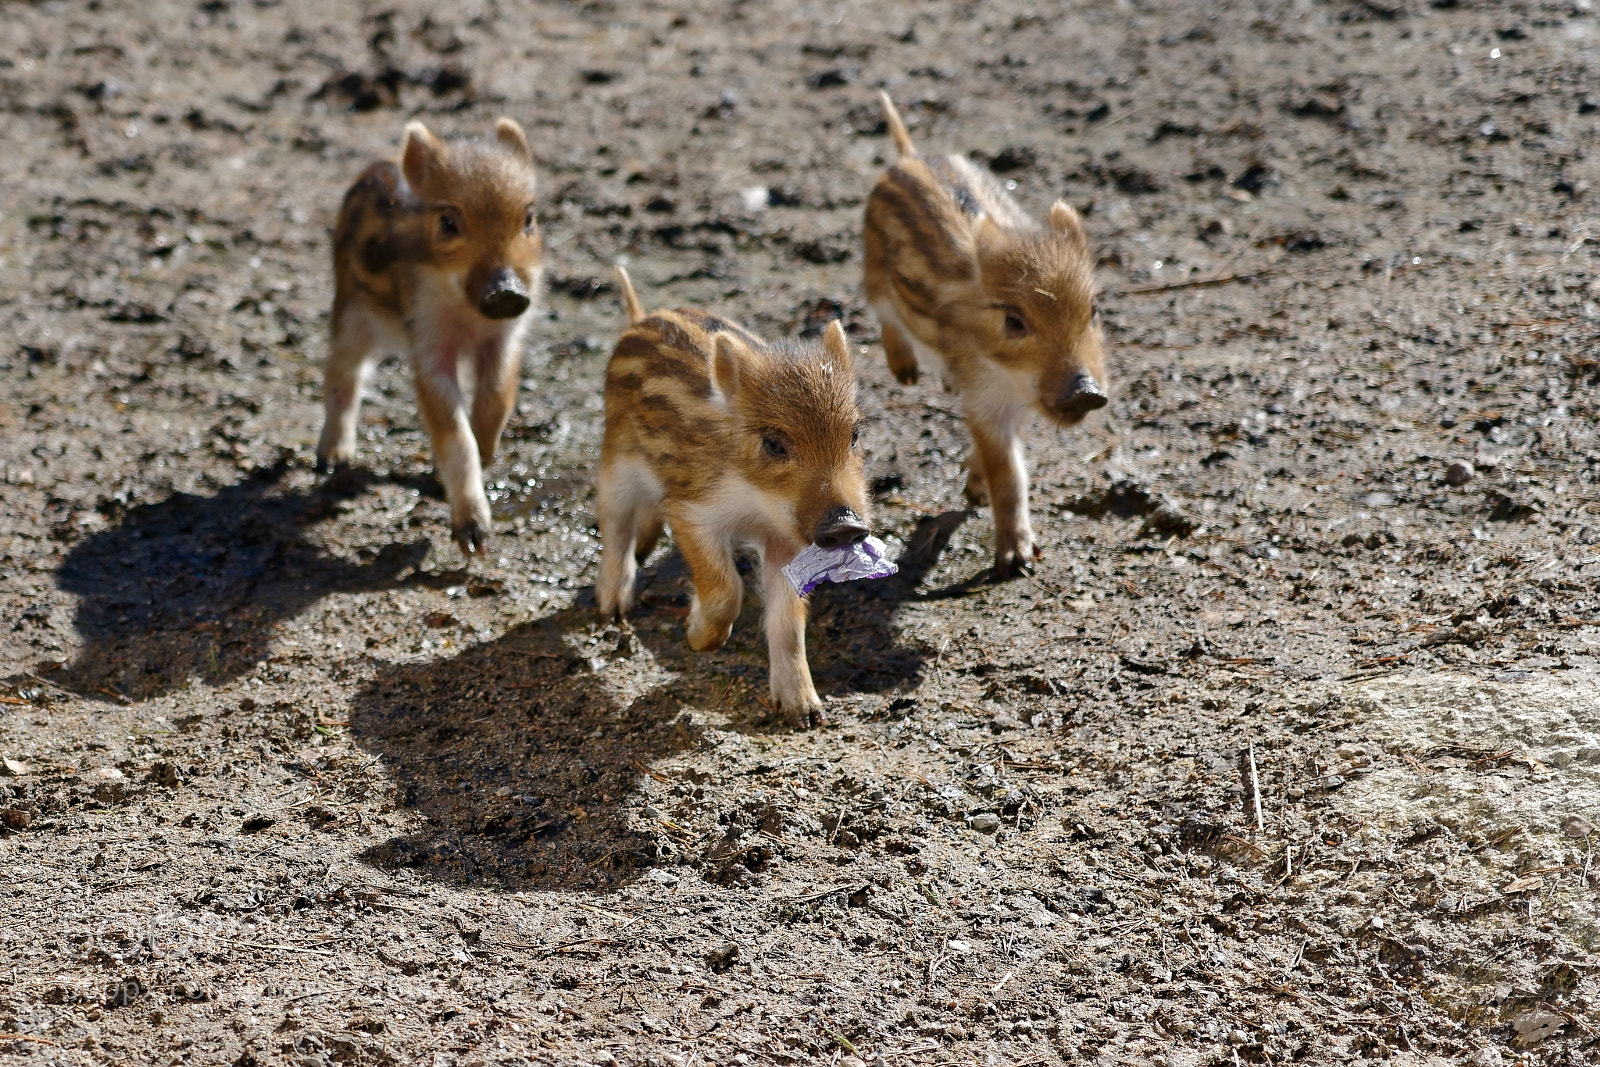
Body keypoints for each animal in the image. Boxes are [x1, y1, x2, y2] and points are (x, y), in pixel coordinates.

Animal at [316, 117, 543, 555]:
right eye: (449, 223)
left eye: (528, 218)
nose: (505, 290)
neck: (466, 312)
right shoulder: (428, 344)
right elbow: (453, 429)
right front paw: (474, 539)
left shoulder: (505, 337)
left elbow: (496, 399)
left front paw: (482, 457)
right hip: (350, 313)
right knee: (342, 374)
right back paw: (332, 460)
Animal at [597, 267, 870, 728]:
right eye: (774, 443)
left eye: (853, 435)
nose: (846, 525)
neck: (759, 502)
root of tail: (640, 318)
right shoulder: (692, 510)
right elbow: (726, 590)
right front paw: (695, 638)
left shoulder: (788, 539)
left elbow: (787, 622)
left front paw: (805, 712)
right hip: (615, 462)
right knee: (615, 528)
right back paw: (613, 607)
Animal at [863, 93, 1109, 576]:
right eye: (1014, 321)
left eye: (1093, 310)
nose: (1086, 391)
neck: (1011, 378)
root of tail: (907, 155)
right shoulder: (984, 396)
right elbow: (1008, 473)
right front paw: (1015, 561)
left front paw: (974, 490)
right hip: (873, 273)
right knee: (883, 314)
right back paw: (905, 374)